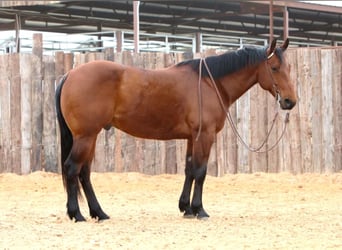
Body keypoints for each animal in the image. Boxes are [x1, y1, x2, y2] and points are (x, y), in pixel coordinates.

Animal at [54, 38, 296, 222]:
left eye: (289, 68)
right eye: (274, 68)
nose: (289, 101)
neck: (210, 83)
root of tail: (69, 75)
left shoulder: (192, 138)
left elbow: (189, 170)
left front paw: (186, 208)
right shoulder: (205, 136)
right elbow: (200, 171)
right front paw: (199, 209)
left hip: (90, 137)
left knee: (84, 173)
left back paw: (99, 213)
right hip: (86, 137)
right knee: (72, 169)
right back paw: (77, 214)